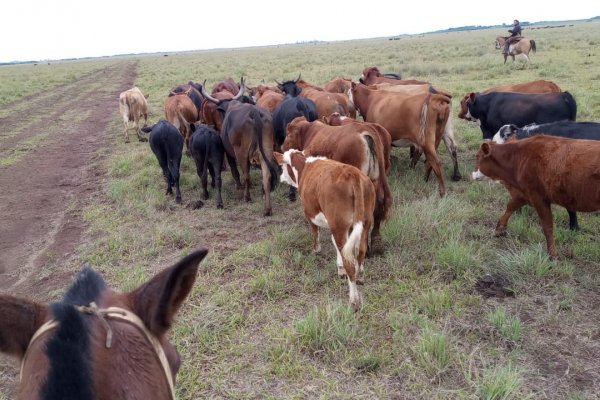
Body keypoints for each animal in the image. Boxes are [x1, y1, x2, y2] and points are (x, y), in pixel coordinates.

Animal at [282, 115, 392, 253]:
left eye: (288, 133)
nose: (282, 147)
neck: (309, 132)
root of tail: (365, 127)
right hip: (375, 180)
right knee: (377, 206)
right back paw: (376, 244)